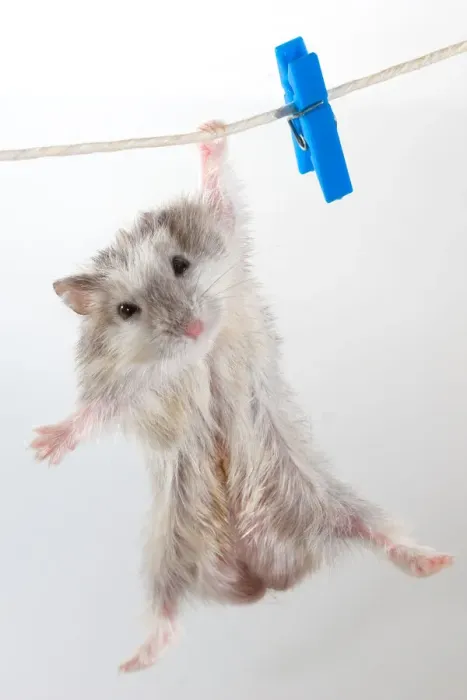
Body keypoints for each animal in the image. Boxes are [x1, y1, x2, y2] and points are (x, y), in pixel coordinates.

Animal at [31, 121, 453, 673]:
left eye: (181, 263)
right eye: (125, 310)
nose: (191, 328)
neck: (198, 354)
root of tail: (260, 574)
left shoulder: (227, 230)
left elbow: (221, 193)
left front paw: (210, 131)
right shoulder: (127, 388)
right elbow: (92, 412)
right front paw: (39, 447)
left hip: (330, 503)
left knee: (379, 536)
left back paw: (435, 561)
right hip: (166, 550)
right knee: (166, 608)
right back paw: (134, 663)